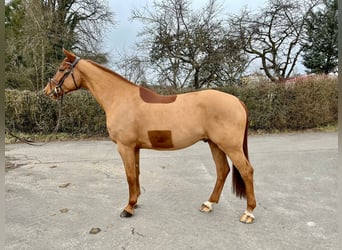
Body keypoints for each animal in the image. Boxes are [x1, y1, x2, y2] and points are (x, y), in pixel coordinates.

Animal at [44, 48, 255, 223]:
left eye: (62, 69)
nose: (47, 91)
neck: (120, 98)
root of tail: (237, 101)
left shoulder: (125, 146)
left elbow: (129, 176)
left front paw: (128, 208)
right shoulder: (135, 148)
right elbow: (136, 173)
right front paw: (135, 202)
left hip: (230, 146)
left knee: (246, 171)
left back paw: (248, 213)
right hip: (214, 144)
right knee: (222, 171)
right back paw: (208, 204)